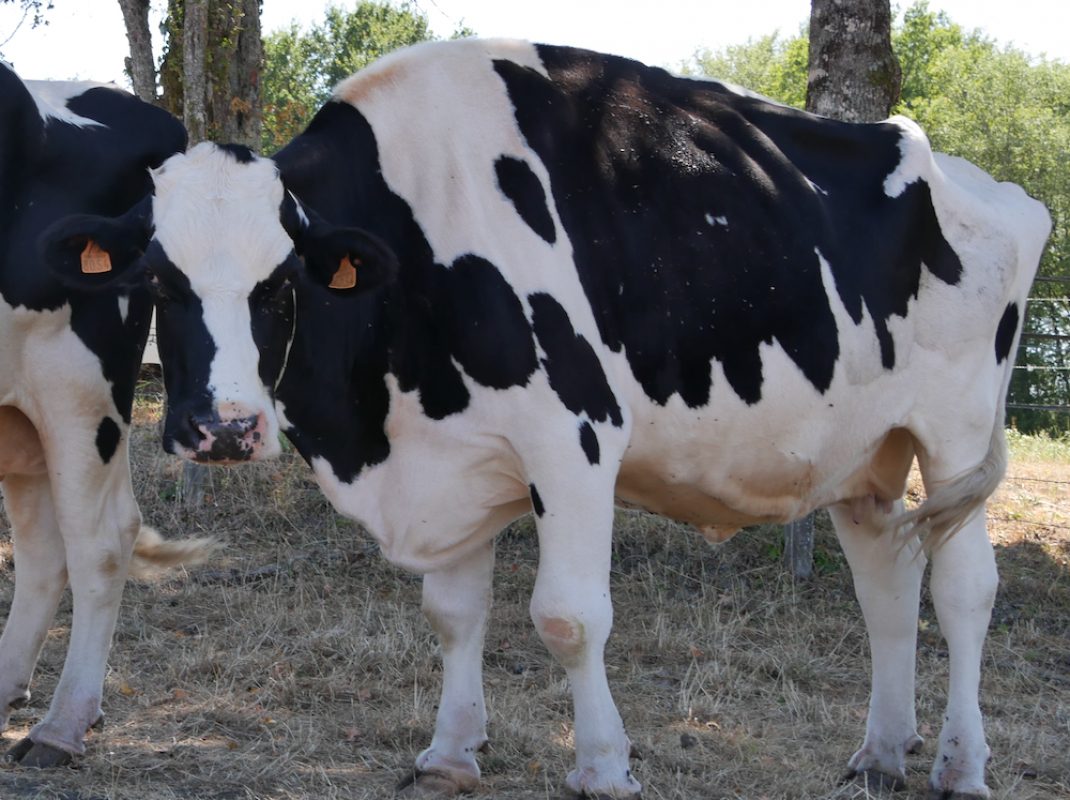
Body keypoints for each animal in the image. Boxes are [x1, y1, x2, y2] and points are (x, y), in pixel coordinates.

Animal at [40, 40, 1051, 798]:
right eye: (157, 279)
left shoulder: (575, 438)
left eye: (282, 284)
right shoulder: (450, 455)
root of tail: (987, 183)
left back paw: (962, 765)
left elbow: (569, 617)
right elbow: (452, 612)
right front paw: (450, 753)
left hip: (958, 434)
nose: (224, 429)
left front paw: (603, 765)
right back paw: (880, 754)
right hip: (866, 452)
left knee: (965, 592)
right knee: (888, 579)